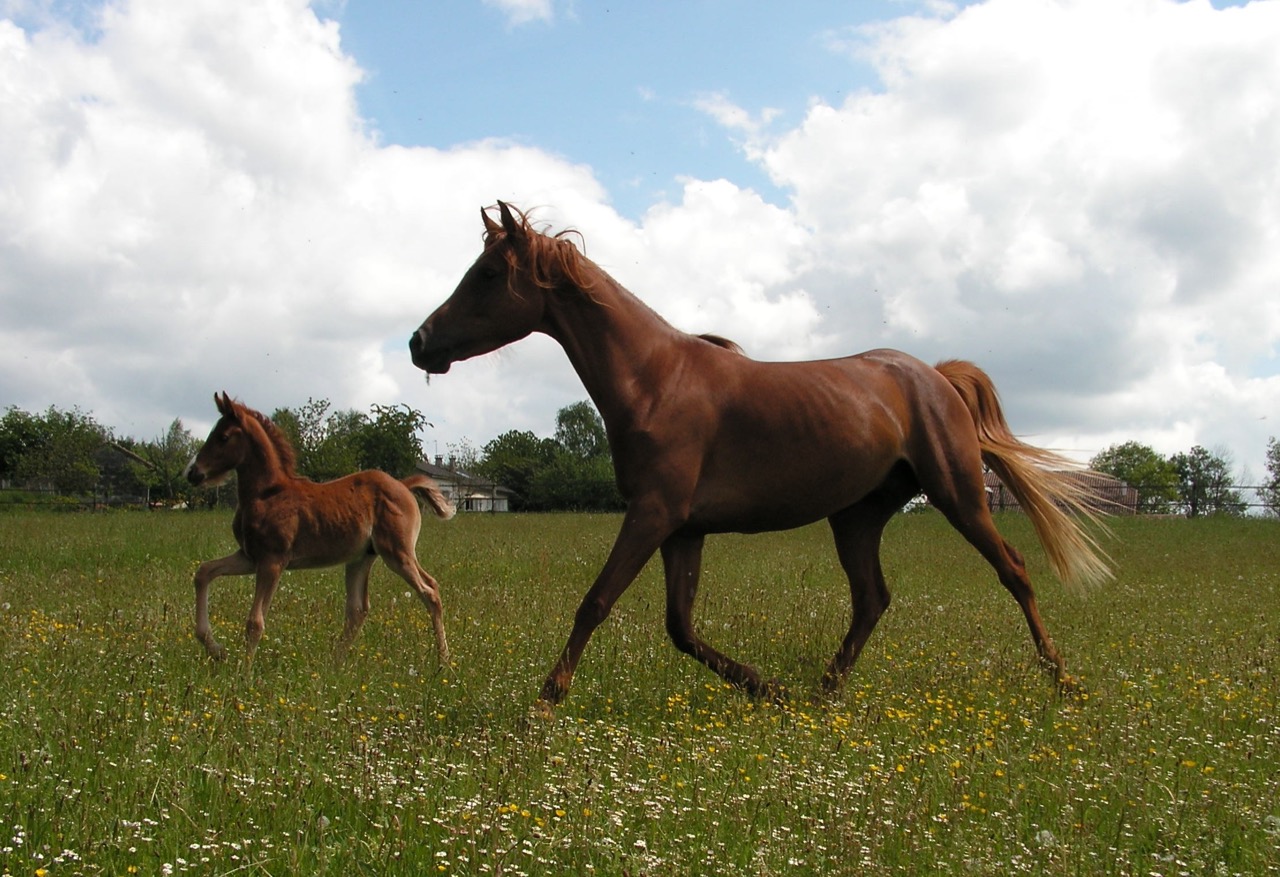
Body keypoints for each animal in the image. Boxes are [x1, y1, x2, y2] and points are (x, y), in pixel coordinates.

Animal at [185, 394, 455, 660]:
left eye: (223, 437)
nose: (192, 473)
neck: (267, 494)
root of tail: (403, 485)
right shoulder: (249, 557)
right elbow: (203, 572)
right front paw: (217, 650)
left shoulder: (273, 560)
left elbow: (255, 622)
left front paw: (242, 670)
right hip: (361, 558)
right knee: (358, 609)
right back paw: (334, 664)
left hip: (397, 552)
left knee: (430, 591)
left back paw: (443, 661)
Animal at [409, 203, 1111, 706]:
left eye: (488, 274)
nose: (419, 342)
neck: (656, 379)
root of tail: (934, 378)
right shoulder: (682, 530)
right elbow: (680, 628)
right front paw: (766, 688)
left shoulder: (653, 515)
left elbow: (597, 602)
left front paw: (546, 700)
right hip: (856, 516)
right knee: (872, 598)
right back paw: (820, 693)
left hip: (958, 493)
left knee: (1014, 570)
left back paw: (1063, 680)